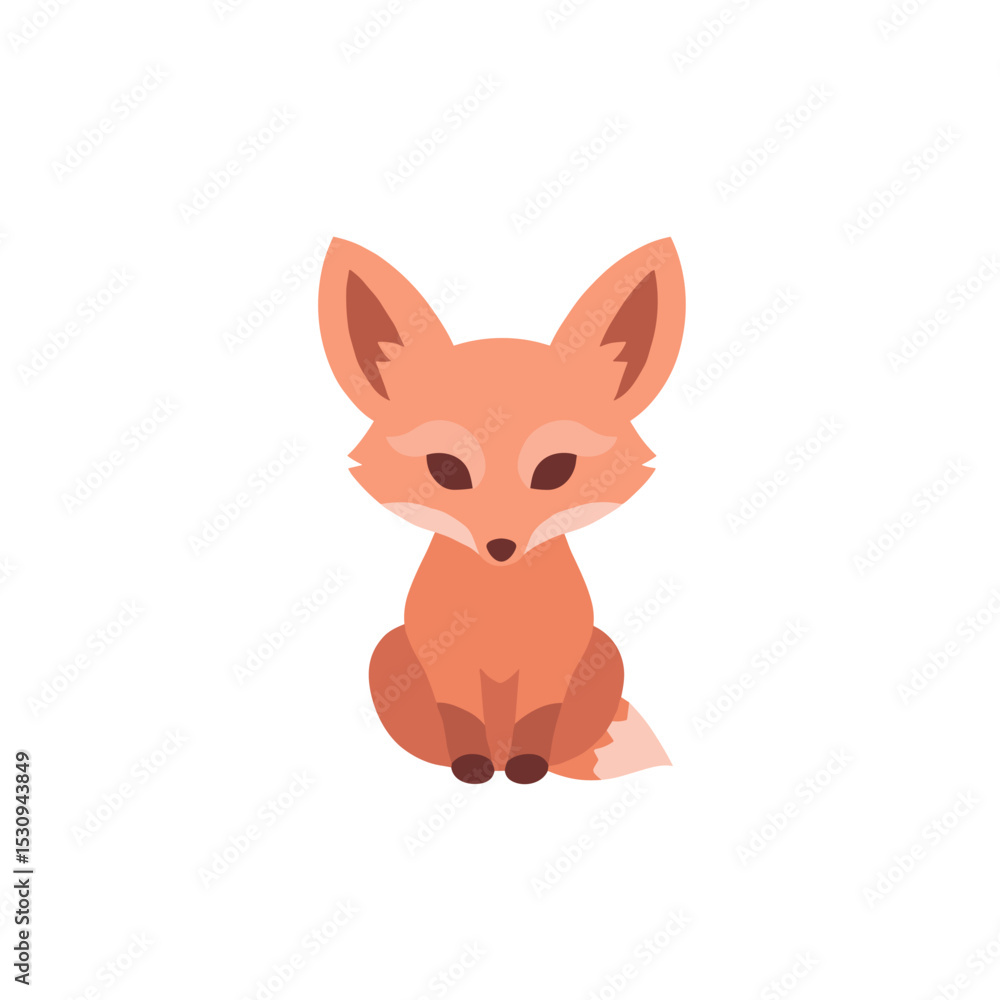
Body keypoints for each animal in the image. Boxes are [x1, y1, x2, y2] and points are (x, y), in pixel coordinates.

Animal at [318, 237, 686, 783]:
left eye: (556, 469)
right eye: (445, 469)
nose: (501, 547)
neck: (498, 608)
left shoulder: (553, 662)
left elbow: (539, 717)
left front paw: (528, 763)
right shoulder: (443, 664)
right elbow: (457, 717)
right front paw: (470, 762)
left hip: (605, 655)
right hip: (387, 656)